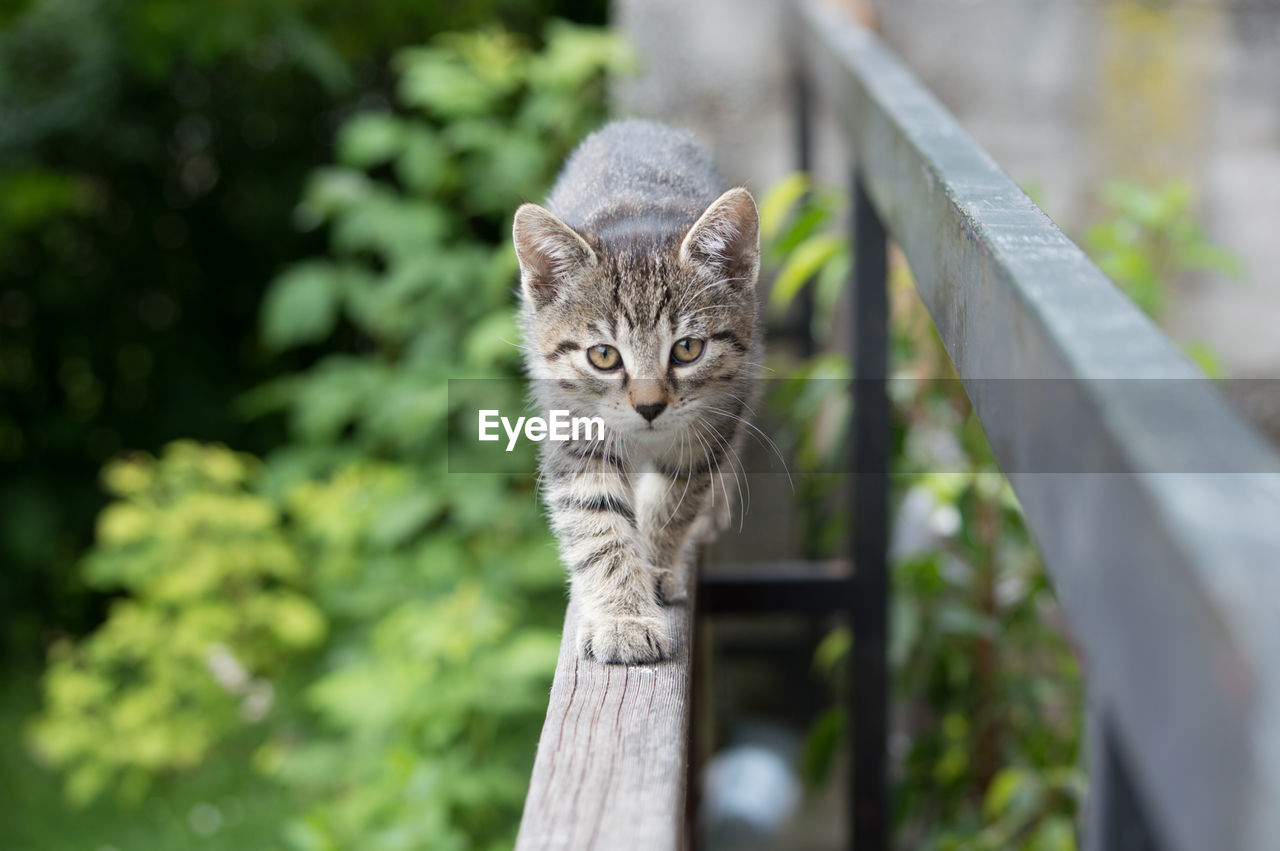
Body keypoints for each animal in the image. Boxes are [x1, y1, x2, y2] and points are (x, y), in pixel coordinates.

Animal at [512, 119, 757, 665]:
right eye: (604, 356)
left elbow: (674, 501)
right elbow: (598, 526)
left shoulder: (713, 420)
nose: (649, 406)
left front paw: (656, 564)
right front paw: (622, 618)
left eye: (687, 348)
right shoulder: (573, 428)